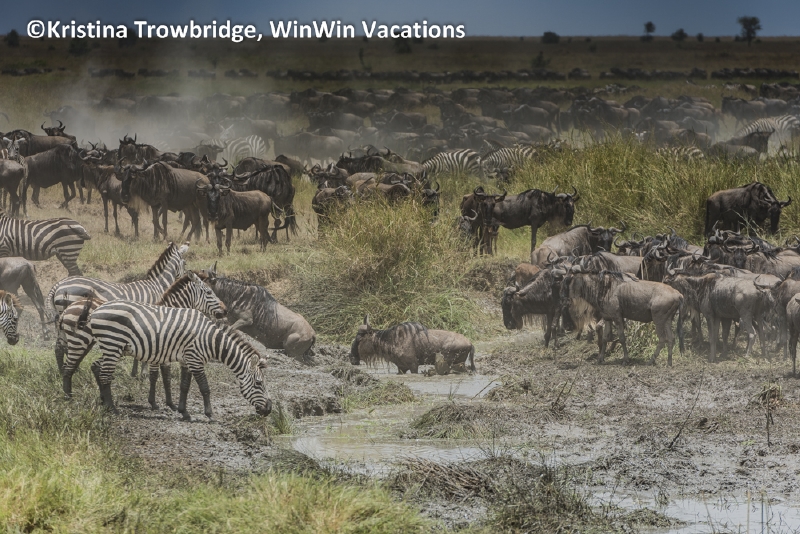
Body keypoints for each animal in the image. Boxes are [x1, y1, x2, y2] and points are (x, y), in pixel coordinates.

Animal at [47, 241, 188, 373]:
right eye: (185, 264)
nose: (185, 277)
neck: (157, 286)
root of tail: (58, 285)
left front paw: (135, 372)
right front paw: (143, 372)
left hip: (61, 321)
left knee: (59, 347)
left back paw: (63, 371)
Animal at [57, 271, 227, 410]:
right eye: (209, 292)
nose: (225, 311)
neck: (169, 314)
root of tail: (67, 310)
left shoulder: (164, 351)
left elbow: (165, 377)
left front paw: (169, 403)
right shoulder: (159, 349)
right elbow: (156, 376)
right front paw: (155, 403)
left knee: (77, 364)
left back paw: (90, 398)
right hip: (81, 340)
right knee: (69, 368)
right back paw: (69, 398)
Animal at [74, 300, 271, 419]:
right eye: (258, 384)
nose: (269, 410)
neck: (210, 339)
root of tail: (96, 310)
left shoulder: (188, 360)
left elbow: (184, 386)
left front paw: (184, 412)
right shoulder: (195, 359)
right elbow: (204, 388)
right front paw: (209, 414)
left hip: (113, 348)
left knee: (97, 367)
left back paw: (103, 402)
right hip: (113, 343)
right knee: (105, 375)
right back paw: (112, 409)